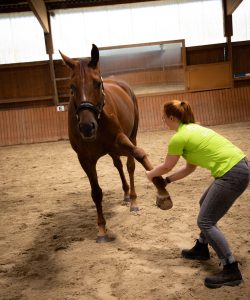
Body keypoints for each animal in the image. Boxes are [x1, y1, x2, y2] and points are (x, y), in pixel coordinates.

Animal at [59, 43, 173, 243]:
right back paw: (127, 195)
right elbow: (96, 192)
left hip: (129, 137)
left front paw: (163, 193)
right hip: (111, 150)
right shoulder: (85, 159)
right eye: (72, 87)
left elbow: (139, 155)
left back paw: (133, 200)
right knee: (119, 166)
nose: (87, 127)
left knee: (129, 166)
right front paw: (101, 229)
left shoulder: (121, 139)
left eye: (97, 83)